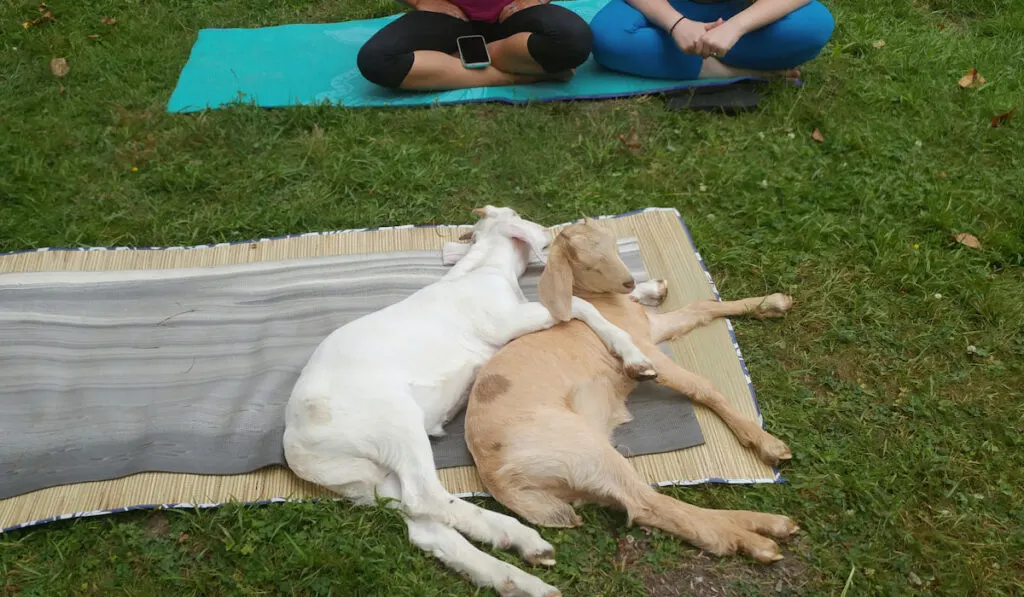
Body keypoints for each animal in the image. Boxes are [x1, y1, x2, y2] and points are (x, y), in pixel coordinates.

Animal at [284, 206, 651, 597]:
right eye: (517, 214)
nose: (546, 230)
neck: (483, 267)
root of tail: (296, 446)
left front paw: (650, 290)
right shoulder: (507, 320)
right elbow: (580, 304)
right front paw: (635, 357)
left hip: (369, 479)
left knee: (425, 529)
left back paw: (521, 570)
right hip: (395, 422)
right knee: (424, 497)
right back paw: (518, 538)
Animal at [466, 217, 798, 561]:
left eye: (613, 244)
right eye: (588, 264)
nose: (628, 283)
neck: (603, 302)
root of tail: (496, 477)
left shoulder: (653, 328)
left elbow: (701, 308)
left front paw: (773, 303)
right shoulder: (647, 351)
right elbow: (701, 385)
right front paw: (766, 443)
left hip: (579, 479)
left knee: (634, 502)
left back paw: (765, 527)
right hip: (584, 449)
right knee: (645, 503)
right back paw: (755, 538)